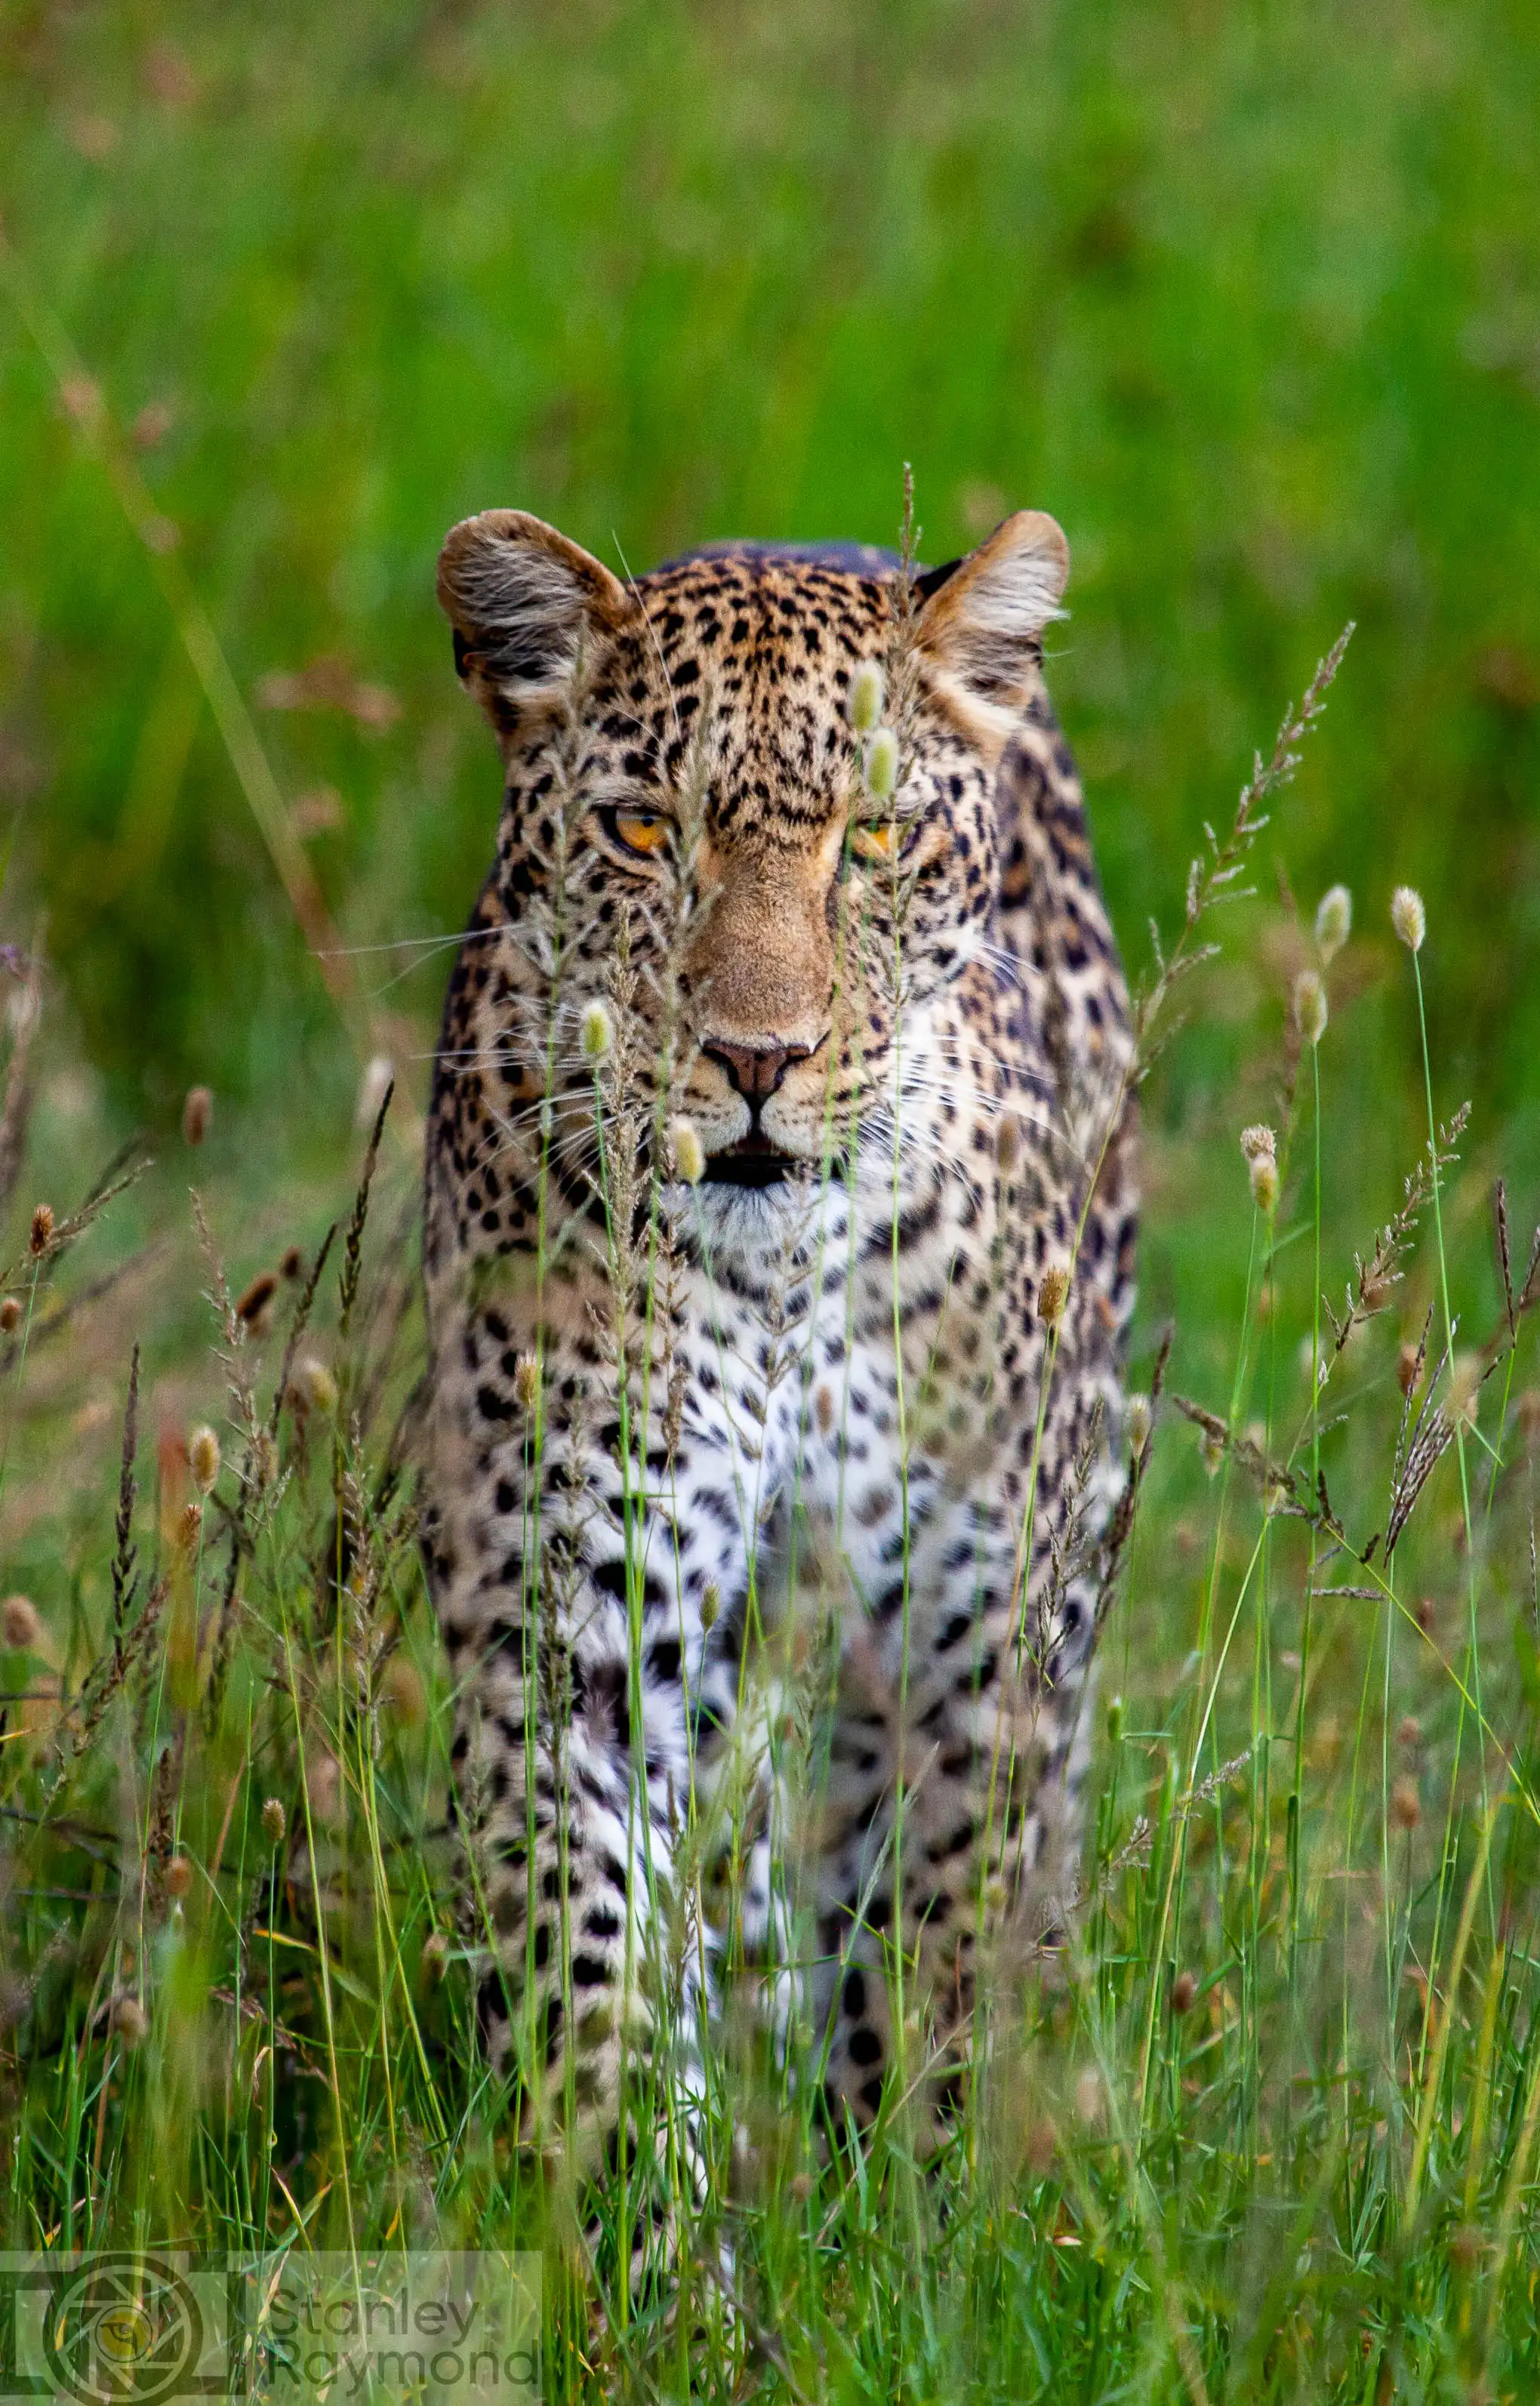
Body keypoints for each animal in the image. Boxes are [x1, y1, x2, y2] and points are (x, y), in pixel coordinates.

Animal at [420, 501, 1138, 2189]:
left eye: (872, 840)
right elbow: (597, 1976)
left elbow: (937, 1944)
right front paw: (646, 2237)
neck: (788, 1287)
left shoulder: (970, 1634)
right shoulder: (568, 1641)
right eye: (639, 833)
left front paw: (915, 2205)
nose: (757, 1060)